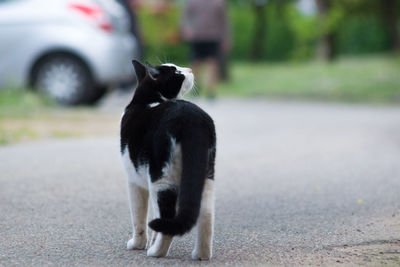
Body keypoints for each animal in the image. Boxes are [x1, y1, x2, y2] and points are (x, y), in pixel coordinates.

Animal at [120, 61, 217, 262]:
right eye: (177, 72)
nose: (190, 70)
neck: (147, 100)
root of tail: (191, 120)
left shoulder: (134, 182)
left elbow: (138, 217)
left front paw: (138, 244)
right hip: (206, 177)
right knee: (206, 215)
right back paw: (201, 255)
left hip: (162, 180)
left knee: (166, 217)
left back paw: (156, 252)